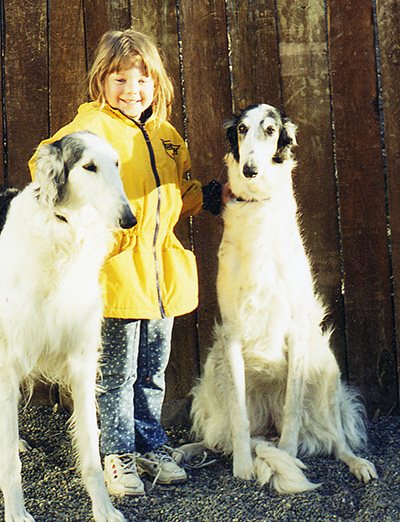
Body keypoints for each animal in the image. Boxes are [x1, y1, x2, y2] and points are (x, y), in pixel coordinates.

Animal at [0, 131, 136, 520]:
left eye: (116, 163)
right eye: (88, 166)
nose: (129, 219)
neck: (63, 231)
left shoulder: (81, 360)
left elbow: (90, 452)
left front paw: (105, 510)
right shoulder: (7, 362)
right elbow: (9, 463)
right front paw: (17, 514)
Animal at [178, 104, 378, 492]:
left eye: (271, 130)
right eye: (241, 129)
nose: (249, 169)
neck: (258, 206)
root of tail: (266, 427)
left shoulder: (297, 329)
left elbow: (292, 412)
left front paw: (288, 456)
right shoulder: (232, 334)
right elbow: (238, 418)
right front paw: (243, 466)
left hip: (325, 365)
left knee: (337, 440)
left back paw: (357, 463)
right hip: (214, 366)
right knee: (217, 437)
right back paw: (185, 451)